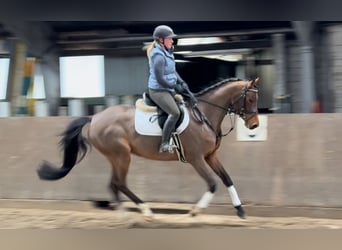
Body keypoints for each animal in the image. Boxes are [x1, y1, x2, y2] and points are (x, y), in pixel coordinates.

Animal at [36, 76, 260, 221]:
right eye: (250, 99)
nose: (255, 125)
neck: (204, 115)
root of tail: (94, 118)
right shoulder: (196, 158)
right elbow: (213, 183)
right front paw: (195, 211)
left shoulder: (210, 156)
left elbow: (227, 179)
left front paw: (240, 211)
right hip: (122, 155)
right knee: (120, 183)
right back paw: (143, 211)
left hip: (116, 157)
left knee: (114, 184)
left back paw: (124, 213)